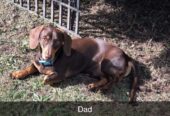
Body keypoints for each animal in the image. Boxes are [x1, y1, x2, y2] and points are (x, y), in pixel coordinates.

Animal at [9, 24, 138, 103]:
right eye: (44, 38)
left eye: (57, 42)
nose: (47, 56)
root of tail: (127, 56)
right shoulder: (37, 64)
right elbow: (29, 68)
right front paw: (17, 73)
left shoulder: (60, 75)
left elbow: (46, 79)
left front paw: (48, 79)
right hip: (96, 70)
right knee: (106, 78)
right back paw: (93, 85)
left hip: (106, 64)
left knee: (114, 79)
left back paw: (103, 89)